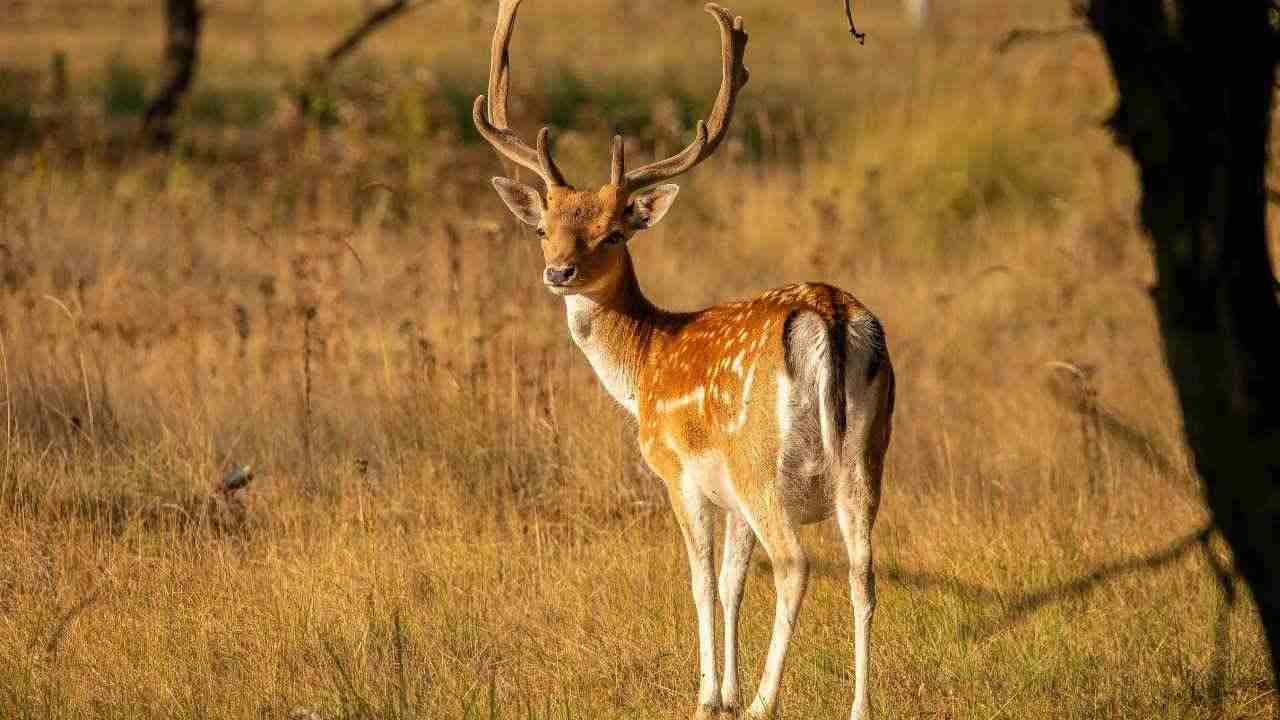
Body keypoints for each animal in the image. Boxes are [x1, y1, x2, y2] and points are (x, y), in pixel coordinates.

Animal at [468, 2, 890, 712]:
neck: (643, 363)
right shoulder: (729, 499)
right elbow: (731, 584)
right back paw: (858, 707)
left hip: (757, 459)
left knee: (797, 564)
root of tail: (830, 315)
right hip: (866, 456)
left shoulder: (678, 472)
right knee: (863, 571)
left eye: (613, 233)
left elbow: (699, 582)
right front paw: (726, 689)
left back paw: (765, 703)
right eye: (543, 228)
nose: (559, 272)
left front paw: (710, 697)